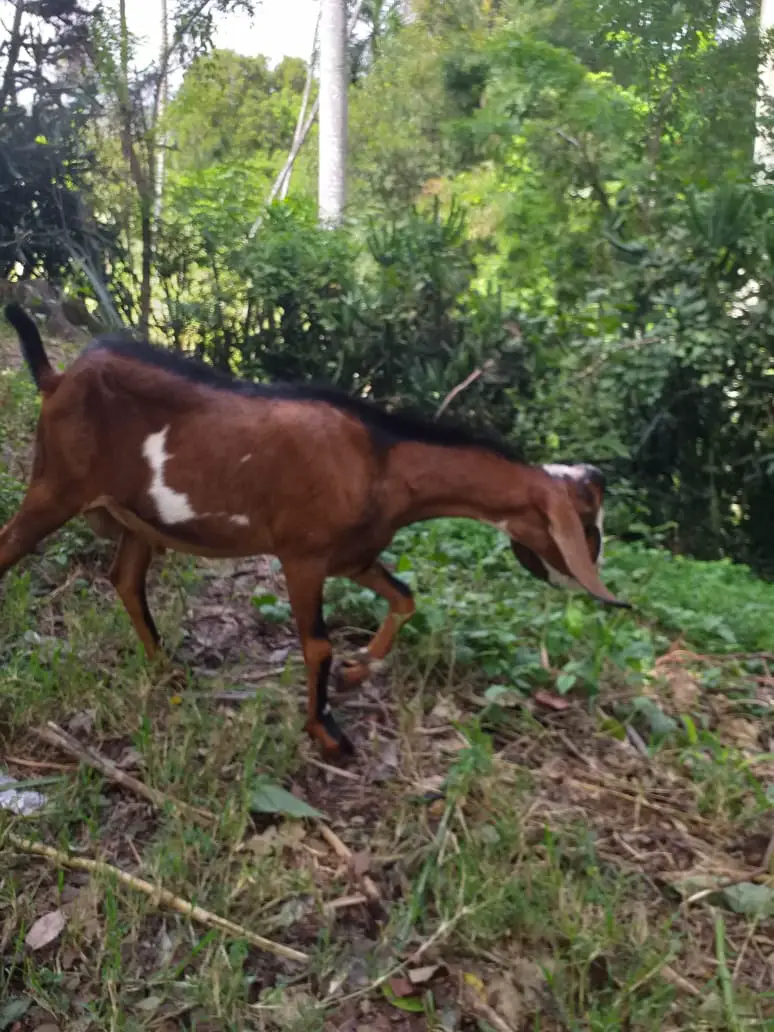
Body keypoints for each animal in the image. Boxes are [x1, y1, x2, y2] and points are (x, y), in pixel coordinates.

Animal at [1, 301, 631, 755]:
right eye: (589, 525)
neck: (381, 460)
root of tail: (58, 378)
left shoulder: (352, 555)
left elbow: (404, 597)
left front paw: (355, 674)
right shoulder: (302, 556)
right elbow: (317, 642)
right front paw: (326, 732)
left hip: (137, 517)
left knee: (126, 580)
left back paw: (169, 672)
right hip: (55, 487)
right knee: (12, 548)